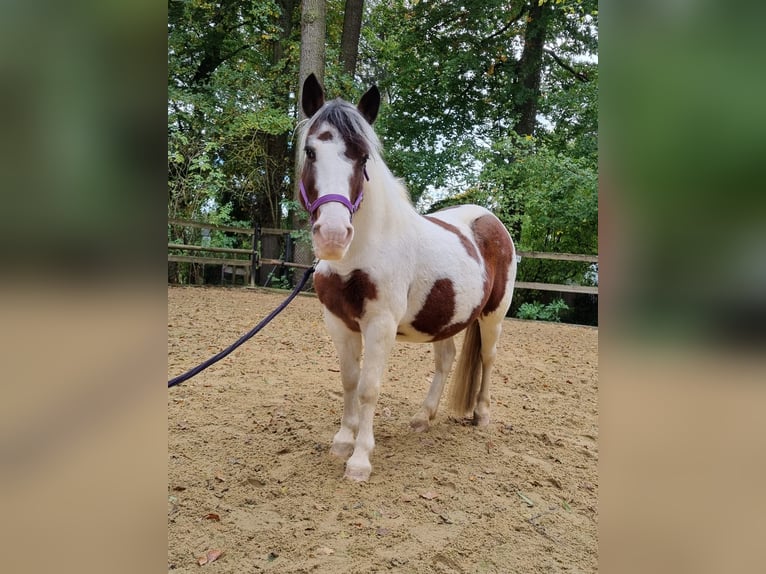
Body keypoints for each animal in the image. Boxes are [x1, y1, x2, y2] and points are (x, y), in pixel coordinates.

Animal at [296, 74, 520, 484]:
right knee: (445, 360)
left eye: (362, 157)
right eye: (310, 152)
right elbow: (349, 381)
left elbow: (369, 388)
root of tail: (490, 220)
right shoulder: (338, 322)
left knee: (489, 358)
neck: (363, 250)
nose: (333, 236)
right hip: (445, 319)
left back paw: (481, 415)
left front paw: (360, 460)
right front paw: (342, 441)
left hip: (493, 316)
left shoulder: (380, 324)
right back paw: (422, 417)